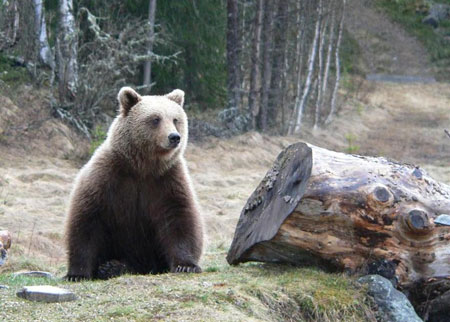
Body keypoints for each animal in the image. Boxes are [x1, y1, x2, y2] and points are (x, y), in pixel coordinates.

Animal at [64, 87, 204, 280]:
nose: (174, 137)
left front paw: (186, 265)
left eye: (176, 119)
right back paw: (110, 266)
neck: (142, 167)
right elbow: (87, 220)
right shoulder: (105, 177)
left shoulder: (167, 181)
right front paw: (77, 273)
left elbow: (179, 218)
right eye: (155, 119)